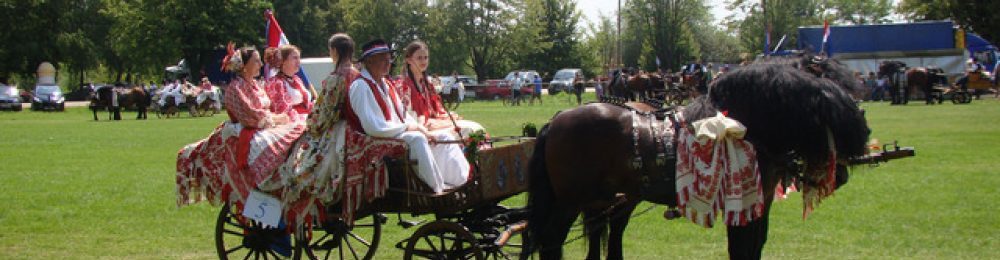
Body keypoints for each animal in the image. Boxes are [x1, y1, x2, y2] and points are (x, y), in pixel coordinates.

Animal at [528, 55, 872, 260]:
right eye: (831, 94)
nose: (842, 174)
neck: (746, 124)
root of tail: (554, 122)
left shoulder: (759, 204)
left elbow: (754, 246)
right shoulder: (745, 203)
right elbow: (742, 248)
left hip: (612, 199)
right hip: (570, 201)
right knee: (551, 239)